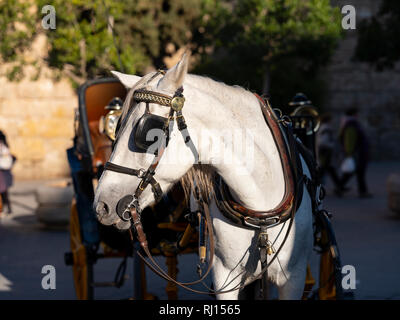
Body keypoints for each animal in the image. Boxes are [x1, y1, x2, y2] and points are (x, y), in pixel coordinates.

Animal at [93, 53, 312, 300]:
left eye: (148, 134)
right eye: (117, 128)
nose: (102, 205)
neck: (259, 209)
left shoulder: (293, 277)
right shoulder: (224, 277)